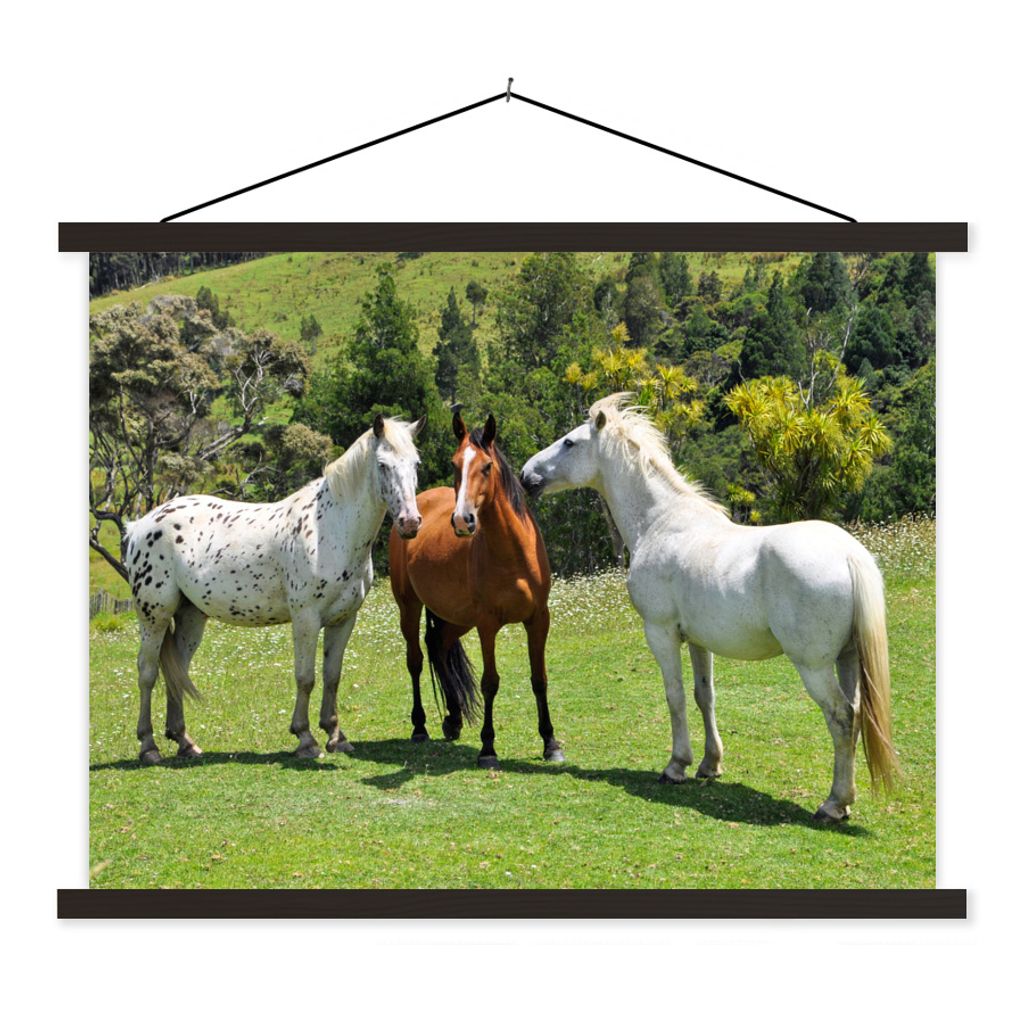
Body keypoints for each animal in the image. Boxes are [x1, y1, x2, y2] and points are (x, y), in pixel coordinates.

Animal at [123, 413, 425, 764]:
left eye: (415, 463)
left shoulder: (343, 620)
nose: (410, 523)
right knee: (147, 672)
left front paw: (336, 736)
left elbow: (332, 677)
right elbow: (305, 678)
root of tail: (141, 524)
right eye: (382, 465)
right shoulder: (306, 619)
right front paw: (305, 738)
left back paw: (184, 741)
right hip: (154, 617)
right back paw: (149, 747)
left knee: (178, 672)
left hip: (190, 617)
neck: (330, 527)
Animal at [388, 410, 564, 768]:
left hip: (457, 618)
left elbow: (539, 679)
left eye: (486, 466)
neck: (513, 553)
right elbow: (490, 683)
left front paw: (550, 743)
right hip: (410, 607)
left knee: (438, 645)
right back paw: (420, 727)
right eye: (455, 464)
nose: (462, 520)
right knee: (415, 660)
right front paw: (488, 748)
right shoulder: (487, 624)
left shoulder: (539, 619)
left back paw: (453, 719)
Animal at [520, 393, 898, 821]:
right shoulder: (700, 640)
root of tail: (850, 554)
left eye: (569, 442)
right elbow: (705, 696)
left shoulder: (661, 633)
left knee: (841, 717)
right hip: (848, 658)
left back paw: (834, 804)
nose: (526, 475)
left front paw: (676, 765)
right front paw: (709, 764)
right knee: (856, 715)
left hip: (814, 666)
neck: (660, 522)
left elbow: (675, 696)